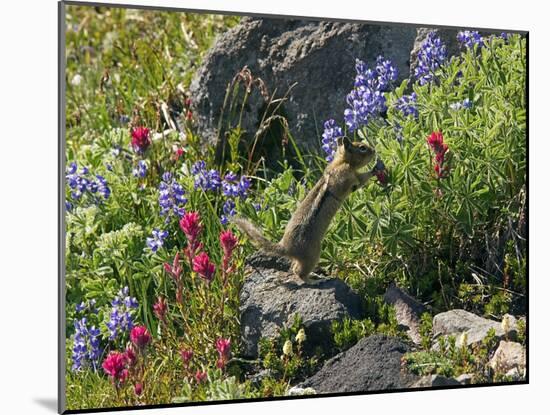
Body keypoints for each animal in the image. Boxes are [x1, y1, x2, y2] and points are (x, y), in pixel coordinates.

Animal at [233, 136, 380, 286]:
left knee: (293, 268)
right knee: (299, 272)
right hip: (313, 254)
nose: (374, 150)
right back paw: (314, 280)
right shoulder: (349, 178)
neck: (341, 162)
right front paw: (374, 169)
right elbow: (361, 180)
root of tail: (286, 247)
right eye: (362, 148)